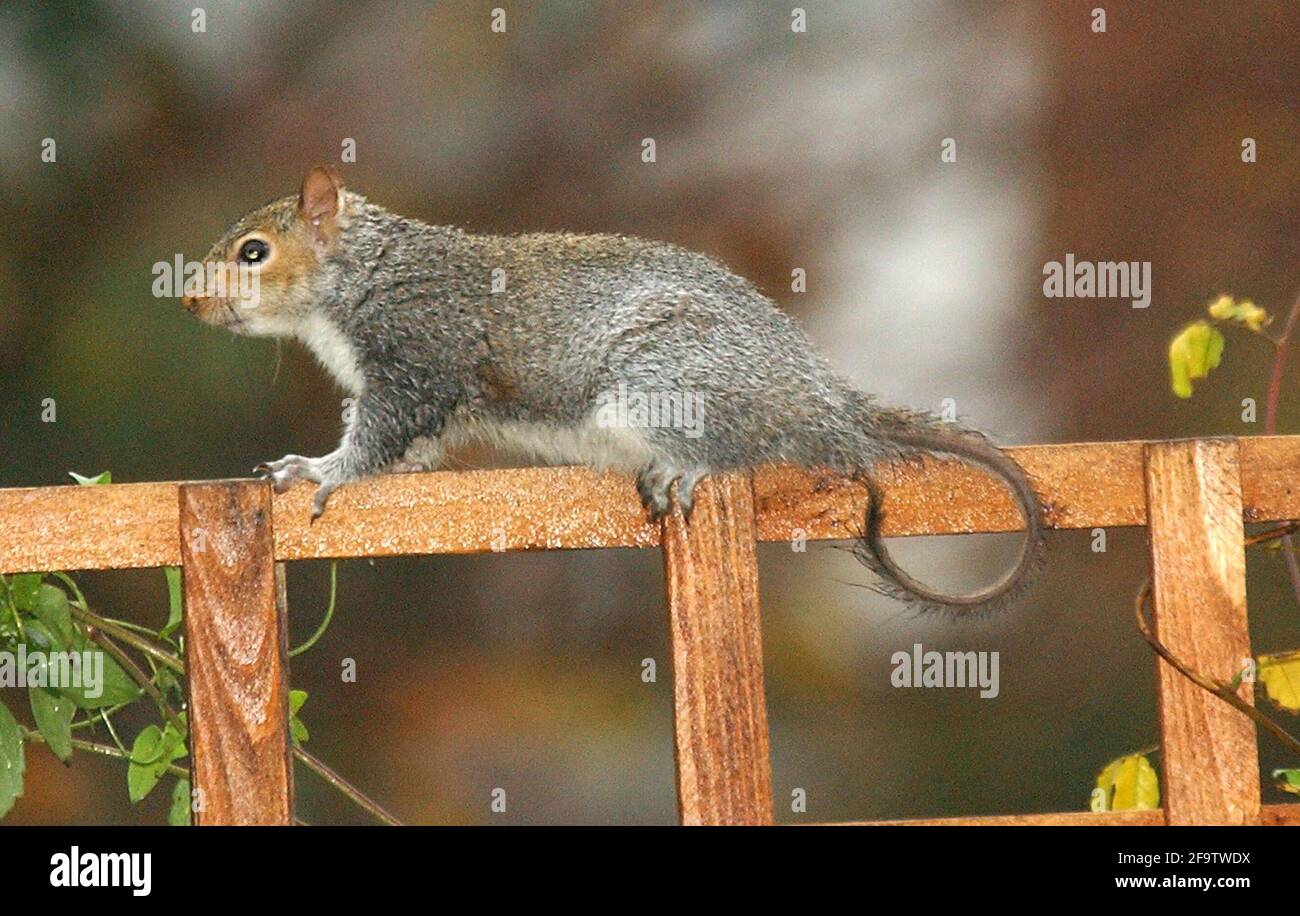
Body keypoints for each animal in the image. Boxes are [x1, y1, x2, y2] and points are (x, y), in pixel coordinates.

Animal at [181, 167, 1044, 616]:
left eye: (254, 253)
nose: (190, 300)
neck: (365, 274)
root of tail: (818, 398)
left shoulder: (416, 357)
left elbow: (379, 437)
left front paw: (319, 471)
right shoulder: (425, 395)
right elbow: (417, 448)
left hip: (666, 379)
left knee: (739, 447)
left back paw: (687, 467)